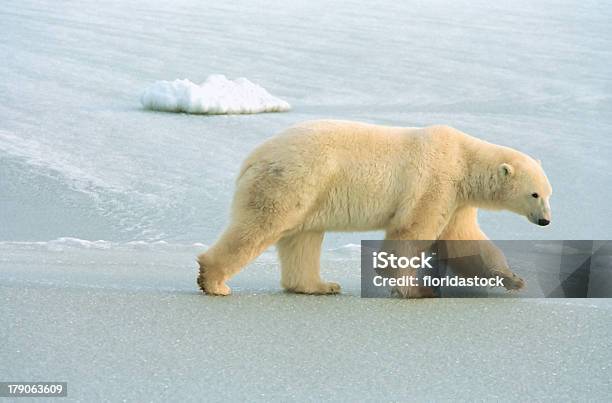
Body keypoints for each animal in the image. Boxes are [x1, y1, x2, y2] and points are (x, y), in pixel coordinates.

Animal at [198, 120, 552, 296]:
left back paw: (320, 286)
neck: (463, 160)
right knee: (261, 225)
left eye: (550, 193)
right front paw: (417, 289)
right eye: (534, 194)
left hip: (311, 192)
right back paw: (214, 281)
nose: (546, 221)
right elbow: (412, 231)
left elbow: (464, 241)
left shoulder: (457, 200)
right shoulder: (436, 182)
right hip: (294, 180)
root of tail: (253, 157)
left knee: (303, 239)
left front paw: (513, 279)